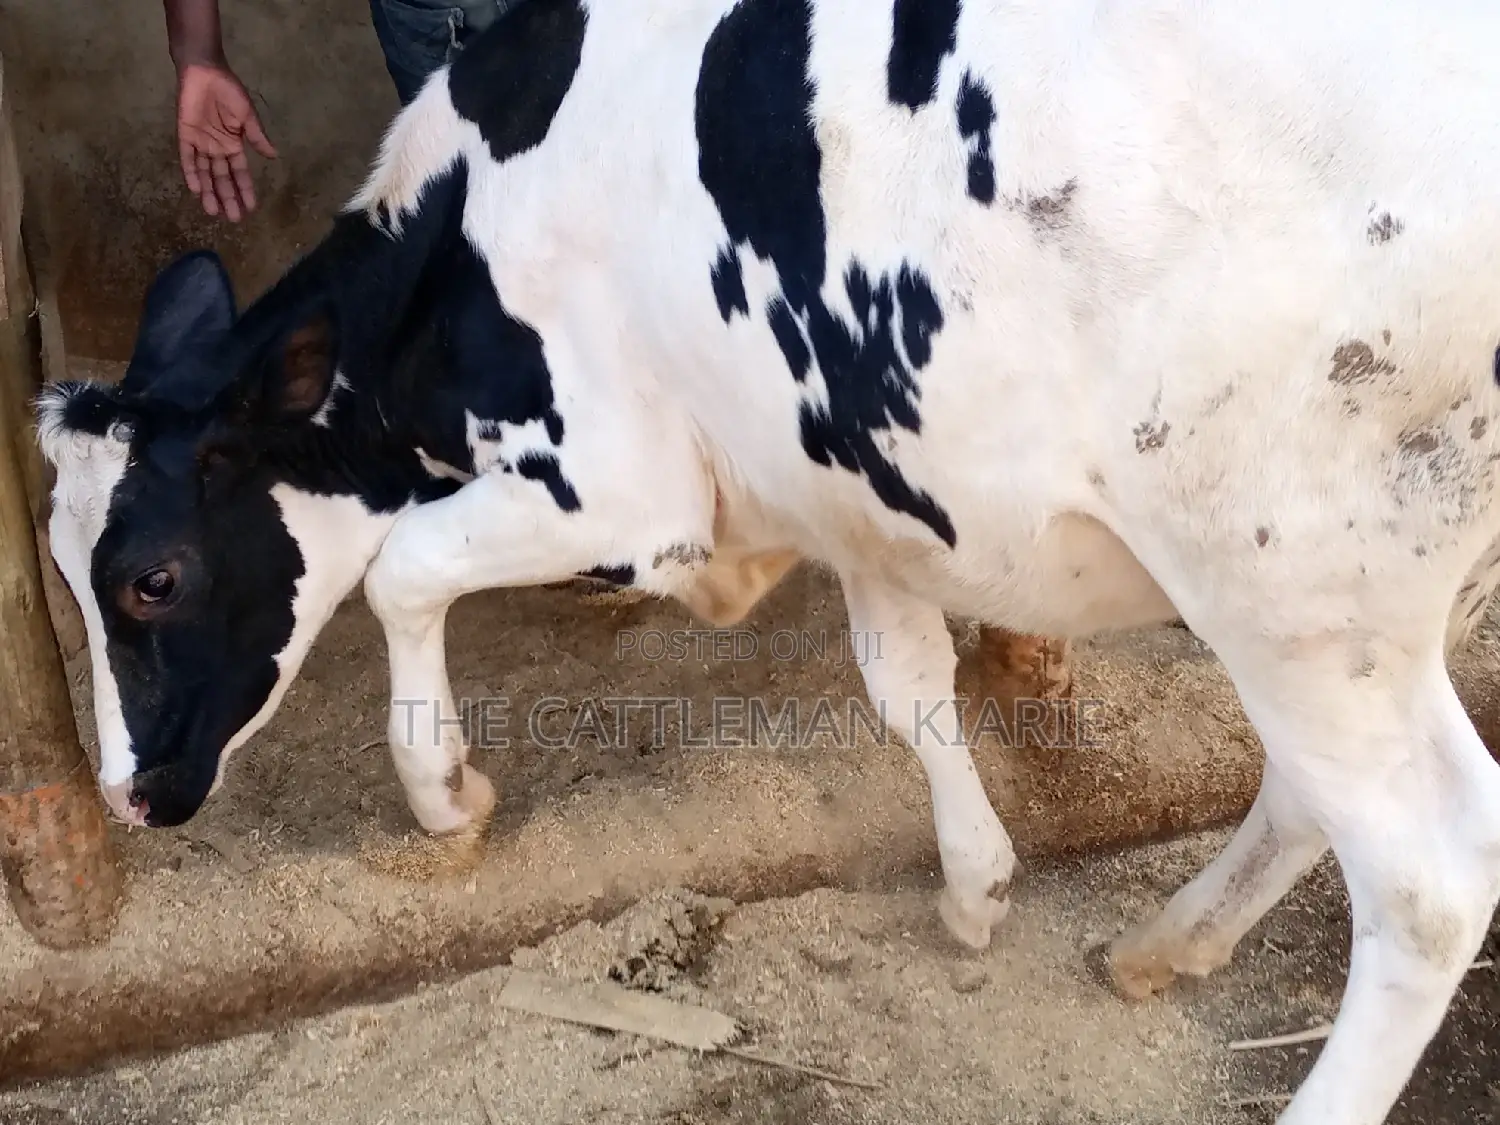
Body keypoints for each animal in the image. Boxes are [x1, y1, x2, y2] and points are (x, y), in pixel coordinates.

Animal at [31, 0, 1500, 1120]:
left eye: (152, 577)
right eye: (60, 565)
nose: (127, 795)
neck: (472, 223)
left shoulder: (620, 486)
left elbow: (401, 568)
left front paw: (445, 795)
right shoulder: (855, 485)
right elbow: (905, 683)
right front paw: (975, 885)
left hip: (1289, 574)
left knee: (1429, 877)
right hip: (1348, 600)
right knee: (1317, 795)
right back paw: (1167, 939)